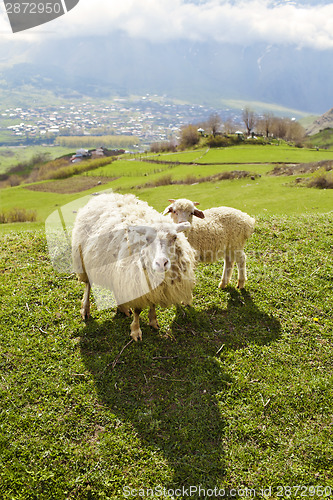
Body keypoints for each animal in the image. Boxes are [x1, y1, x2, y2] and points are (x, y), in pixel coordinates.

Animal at [70, 193, 195, 342]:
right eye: (147, 238)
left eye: (175, 237)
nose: (161, 263)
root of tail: (103, 195)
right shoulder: (135, 282)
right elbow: (137, 310)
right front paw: (136, 331)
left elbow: (152, 303)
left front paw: (153, 321)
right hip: (82, 261)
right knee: (88, 285)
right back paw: (85, 309)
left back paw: (123, 308)